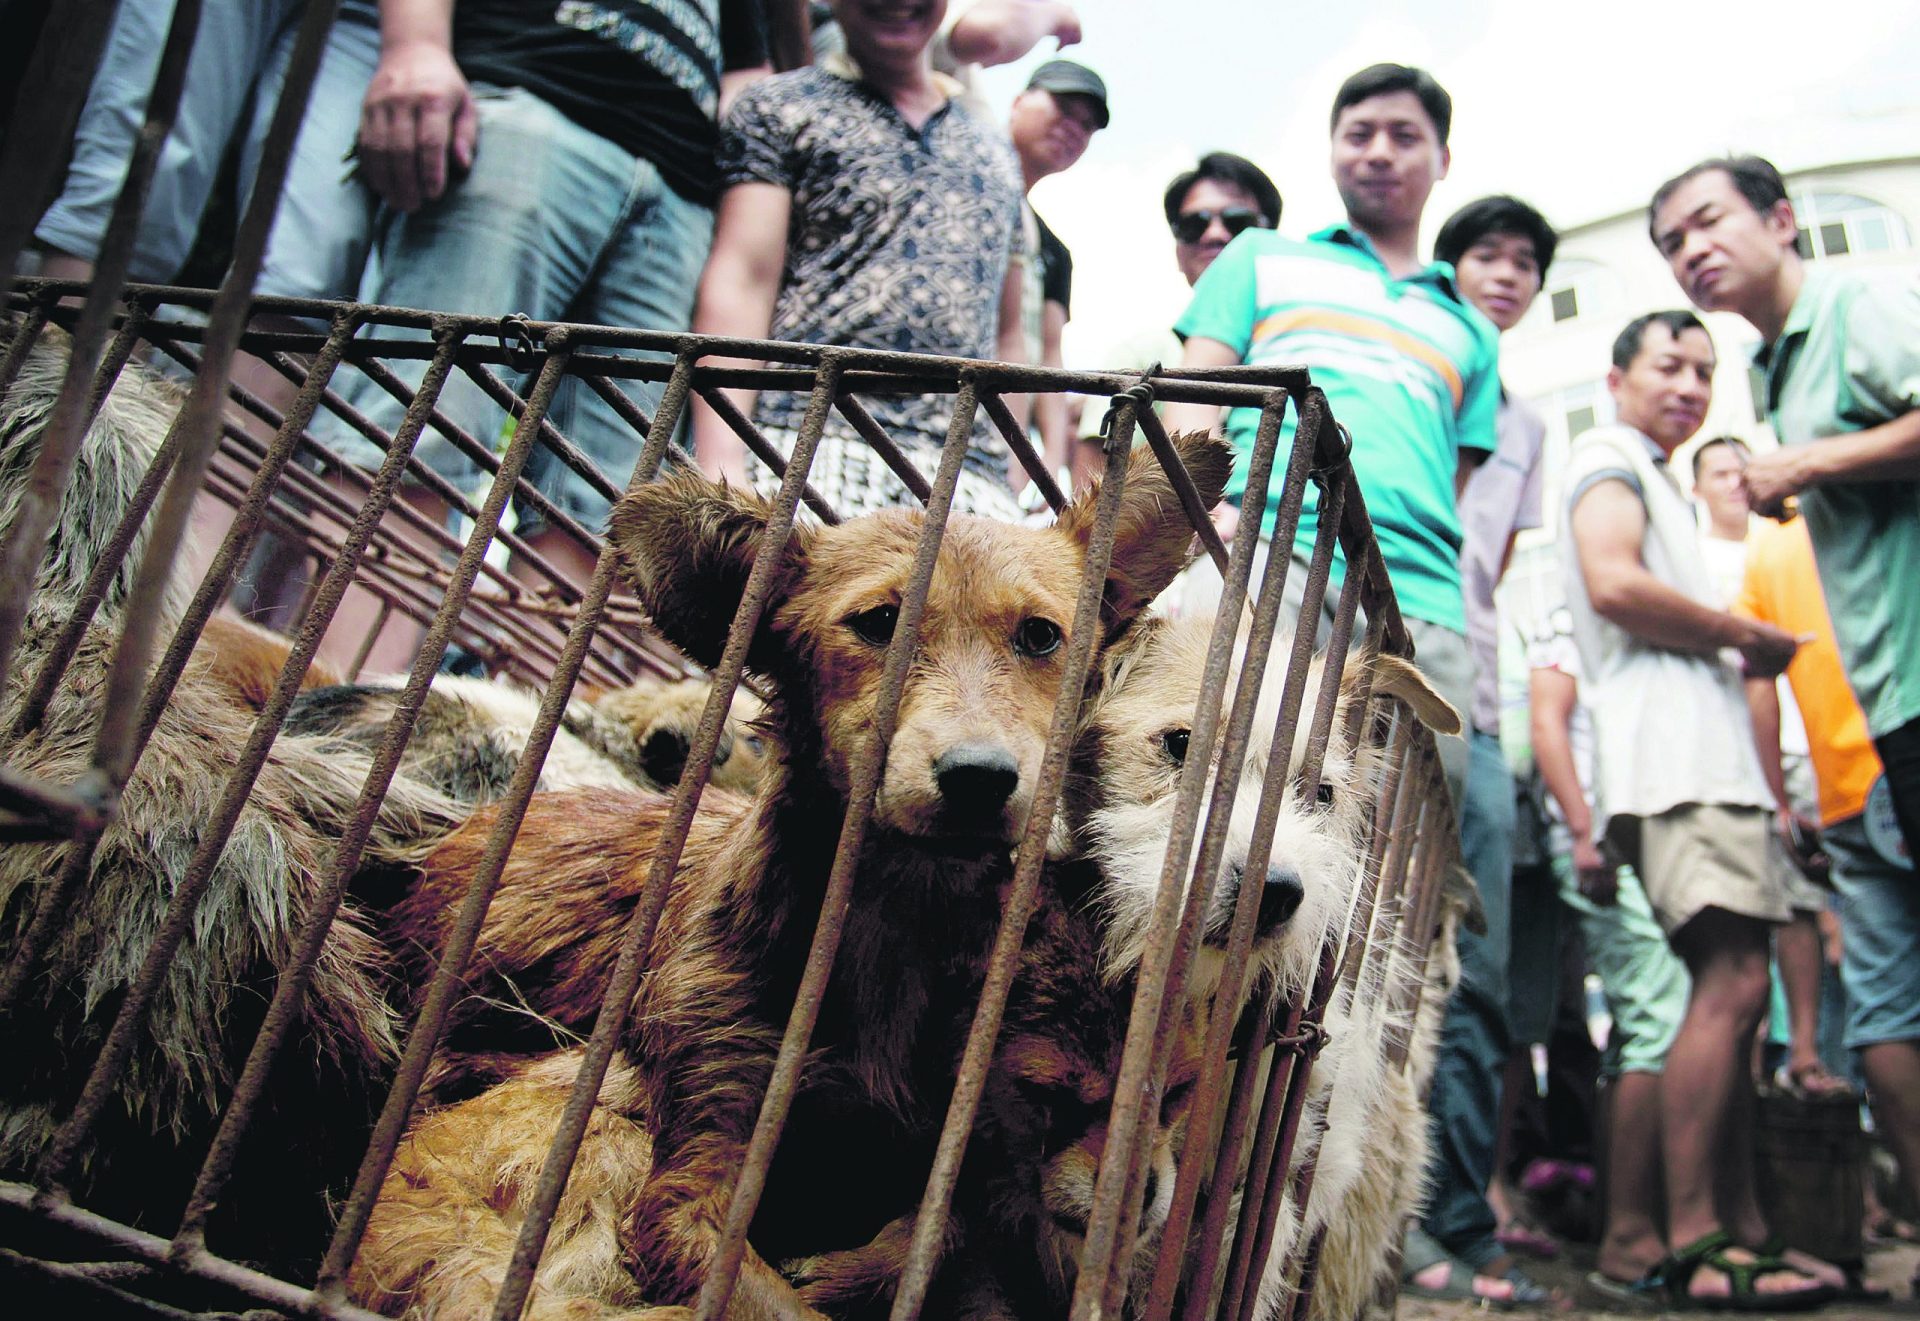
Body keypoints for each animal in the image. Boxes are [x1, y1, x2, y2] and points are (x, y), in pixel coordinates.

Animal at [364, 430, 1228, 1313]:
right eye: (878, 623)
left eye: (1043, 636)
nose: (980, 776)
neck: (894, 923)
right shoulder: (698, 1172)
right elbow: (777, 1297)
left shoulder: (950, 1139)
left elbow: (937, 1232)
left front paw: (850, 1264)